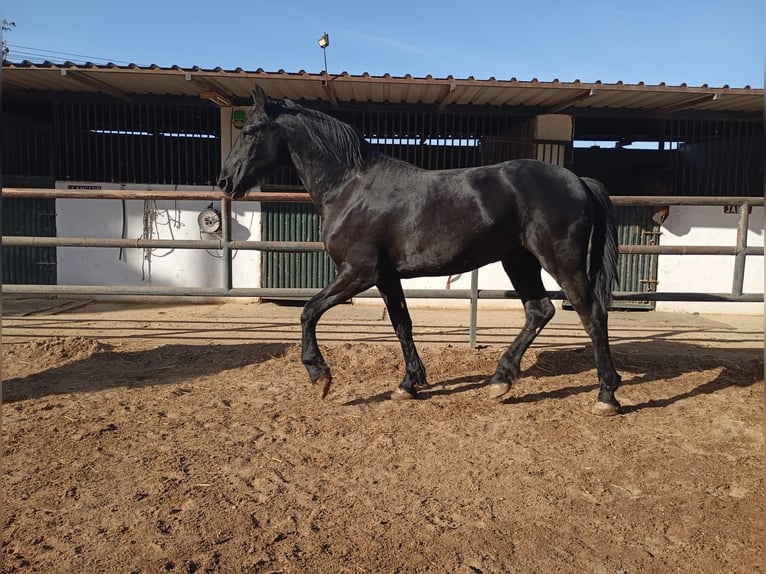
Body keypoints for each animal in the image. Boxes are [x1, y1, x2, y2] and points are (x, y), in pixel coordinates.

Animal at [218, 86, 623, 416]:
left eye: (250, 131)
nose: (225, 182)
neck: (350, 188)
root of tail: (577, 180)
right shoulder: (385, 277)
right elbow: (402, 324)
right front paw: (408, 384)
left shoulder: (358, 272)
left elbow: (308, 312)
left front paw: (320, 376)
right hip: (518, 260)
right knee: (540, 311)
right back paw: (500, 380)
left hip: (560, 261)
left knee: (592, 314)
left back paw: (606, 395)